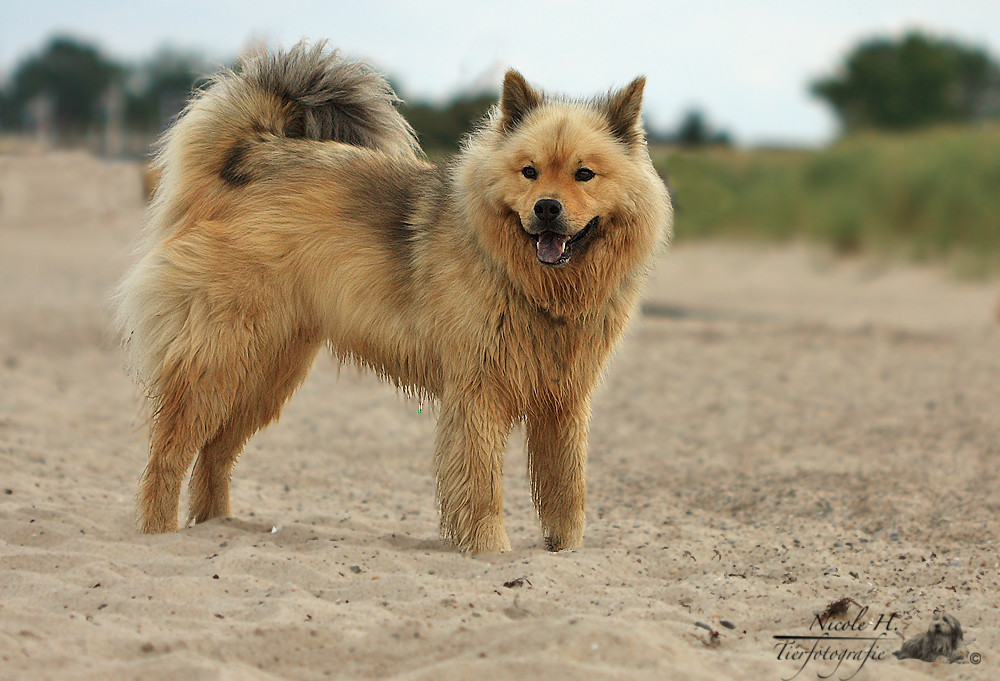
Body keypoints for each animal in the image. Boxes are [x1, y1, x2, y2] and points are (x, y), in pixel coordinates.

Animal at [111, 41, 672, 552]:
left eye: (584, 174)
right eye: (529, 171)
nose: (547, 208)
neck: (536, 287)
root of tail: (253, 153)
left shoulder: (566, 401)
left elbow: (566, 490)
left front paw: (566, 551)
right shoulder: (479, 392)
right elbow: (482, 485)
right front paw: (489, 550)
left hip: (268, 373)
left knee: (215, 454)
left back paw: (220, 528)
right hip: (219, 363)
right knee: (169, 453)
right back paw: (160, 534)